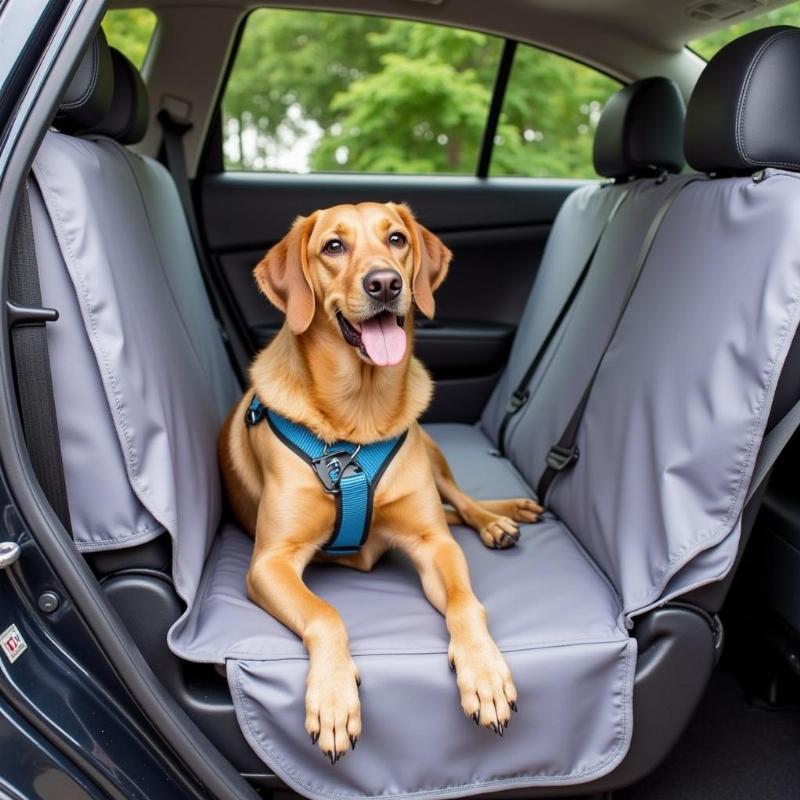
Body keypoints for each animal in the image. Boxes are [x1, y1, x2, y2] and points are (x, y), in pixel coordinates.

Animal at [219, 200, 544, 764]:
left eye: (396, 239)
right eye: (333, 246)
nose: (385, 283)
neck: (358, 417)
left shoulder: (433, 543)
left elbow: (466, 603)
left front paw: (484, 673)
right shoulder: (269, 563)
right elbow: (325, 614)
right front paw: (332, 699)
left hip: (432, 454)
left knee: (460, 501)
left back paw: (500, 518)